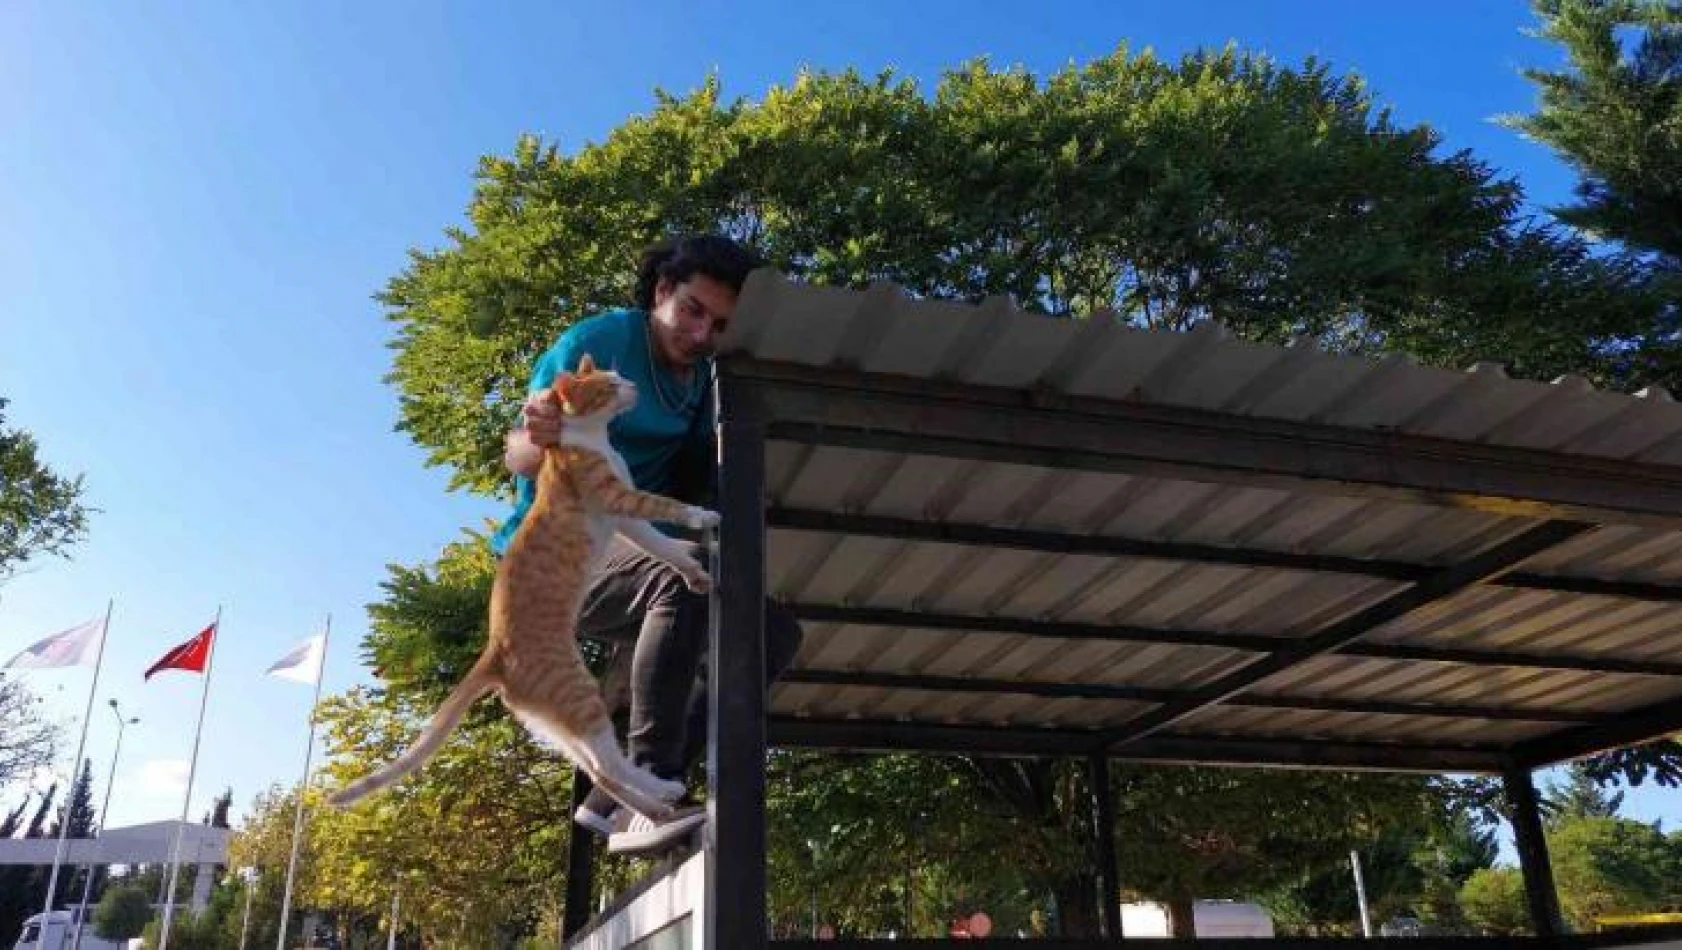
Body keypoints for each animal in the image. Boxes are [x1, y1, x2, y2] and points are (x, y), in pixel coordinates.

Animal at [327, 356, 716, 813]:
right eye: (608, 385)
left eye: (620, 376)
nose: (633, 387)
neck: (593, 440)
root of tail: (493, 653)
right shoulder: (618, 499)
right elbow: (665, 505)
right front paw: (702, 515)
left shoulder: (626, 520)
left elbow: (663, 545)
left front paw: (694, 570)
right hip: (579, 694)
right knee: (609, 763)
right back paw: (661, 789)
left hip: (557, 722)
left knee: (598, 768)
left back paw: (654, 804)